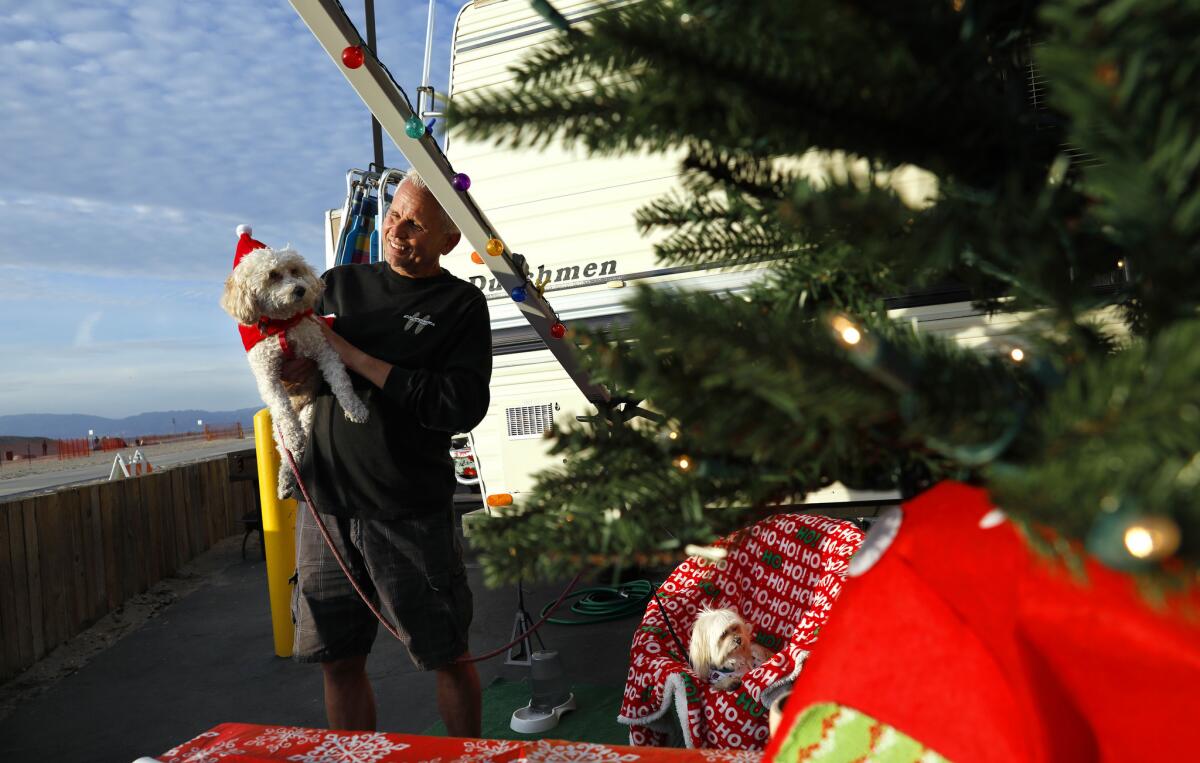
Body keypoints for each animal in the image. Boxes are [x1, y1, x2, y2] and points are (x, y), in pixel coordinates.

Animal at [218, 225, 362, 501]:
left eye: (296, 271)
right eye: (273, 275)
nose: (300, 290)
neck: (282, 324)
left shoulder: (323, 349)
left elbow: (341, 381)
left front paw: (355, 408)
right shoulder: (268, 375)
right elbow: (282, 407)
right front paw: (294, 436)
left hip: (309, 412)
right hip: (278, 428)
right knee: (289, 449)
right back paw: (285, 480)